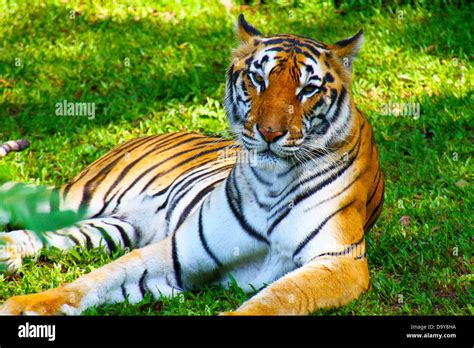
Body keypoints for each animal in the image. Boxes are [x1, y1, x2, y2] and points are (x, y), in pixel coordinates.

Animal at [0, 15, 384, 316]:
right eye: (258, 79)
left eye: (308, 89)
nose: (270, 132)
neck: (271, 182)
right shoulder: (181, 250)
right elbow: (96, 279)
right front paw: (22, 305)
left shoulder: (339, 261)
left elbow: (278, 298)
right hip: (78, 198)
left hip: (113, 228)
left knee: (53, 234)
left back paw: (7, 251)